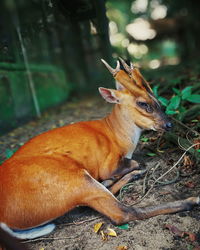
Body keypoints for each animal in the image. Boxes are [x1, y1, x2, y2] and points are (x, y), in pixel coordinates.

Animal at [0, 57, 199, 239]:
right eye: (143, 104)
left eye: (156, 99)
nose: (169, 124)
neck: (117, 135)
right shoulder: (107, 164)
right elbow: (133, 162)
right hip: (71, 177)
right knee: (122, 213)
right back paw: (191, 200)